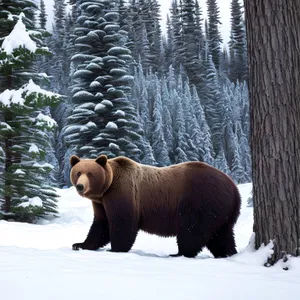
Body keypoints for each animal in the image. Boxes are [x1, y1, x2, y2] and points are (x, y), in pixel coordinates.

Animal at [69, 155, 240, 258]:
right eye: (78, 172)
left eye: (90, 173)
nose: (80, 186)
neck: (107, 188)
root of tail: (234, 188)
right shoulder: (101, 203)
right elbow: (101, 225)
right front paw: (79, 244)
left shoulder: (123, 193)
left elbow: (123, 223)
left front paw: (115, 248)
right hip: (221, 211)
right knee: (222, 235)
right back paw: (227, 253)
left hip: (201, 201)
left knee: (192, 230)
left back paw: (179, 253)